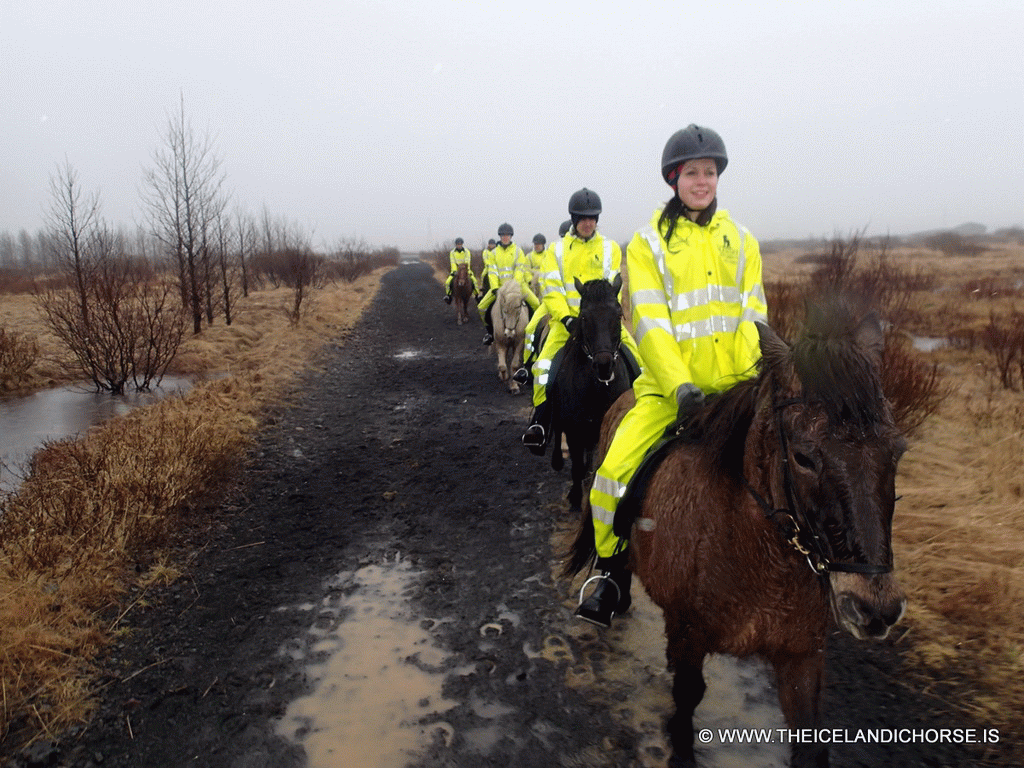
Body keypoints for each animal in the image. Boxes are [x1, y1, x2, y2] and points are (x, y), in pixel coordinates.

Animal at [548, 274, 634, 514]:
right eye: (584, 316)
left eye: (618, 314)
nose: (603, 365)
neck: (598, 388)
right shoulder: (574, 431)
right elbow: (577, 466)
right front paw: (576, 498)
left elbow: (593, 466)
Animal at [565, 301, 909, 768]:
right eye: (803, 457)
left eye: (897, 450)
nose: (875, 607)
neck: (759, 556)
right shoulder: (688, 635)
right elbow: (687, 699)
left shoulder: (801, 655)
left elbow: (809, 736)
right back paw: (607, 598)